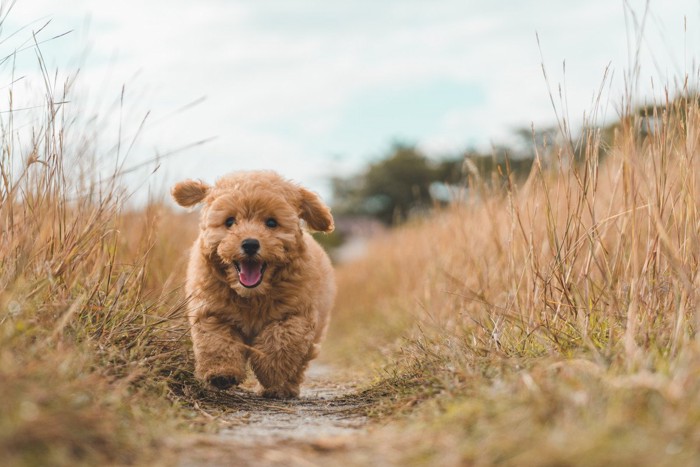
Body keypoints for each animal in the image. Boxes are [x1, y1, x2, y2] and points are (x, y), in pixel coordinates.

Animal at [169, 171, 334, 398]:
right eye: (230, 221)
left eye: (271, 222)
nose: (250, 244)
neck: (252, 295)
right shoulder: (212, 311)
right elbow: (217, 341)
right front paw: (221, 373)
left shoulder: (296, 313)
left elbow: (281, 340)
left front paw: (271, 372)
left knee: (300, 362)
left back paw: (282, 388)